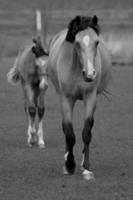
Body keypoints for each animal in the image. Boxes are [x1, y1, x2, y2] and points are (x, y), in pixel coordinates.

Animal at [47, 14, 111, 180]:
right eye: (77, 42)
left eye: (97, 42)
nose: (89, 74)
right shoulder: (66, 99)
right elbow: (69, 133)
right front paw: (69, 165)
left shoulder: (90, 98)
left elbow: (86, 132)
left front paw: (86, 167)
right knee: (65, 129)